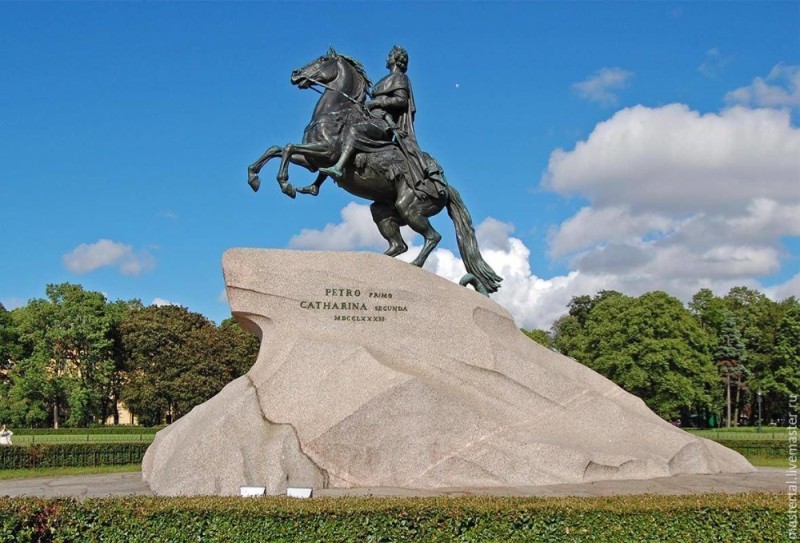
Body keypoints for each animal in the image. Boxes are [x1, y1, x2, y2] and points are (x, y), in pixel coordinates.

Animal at [247, 49, 504, 296]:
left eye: (321, 59)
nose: (295, 74)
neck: (334, 113)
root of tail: (446, 187)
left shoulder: (326, 151)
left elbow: (289, 148)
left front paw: (286, 184)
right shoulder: (311, 159)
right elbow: (277, 149)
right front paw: (254, 177)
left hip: (409, 208)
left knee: (433, 237)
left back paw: (414, 264)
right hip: (382, 210)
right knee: (399, 245)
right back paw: (377, 262)